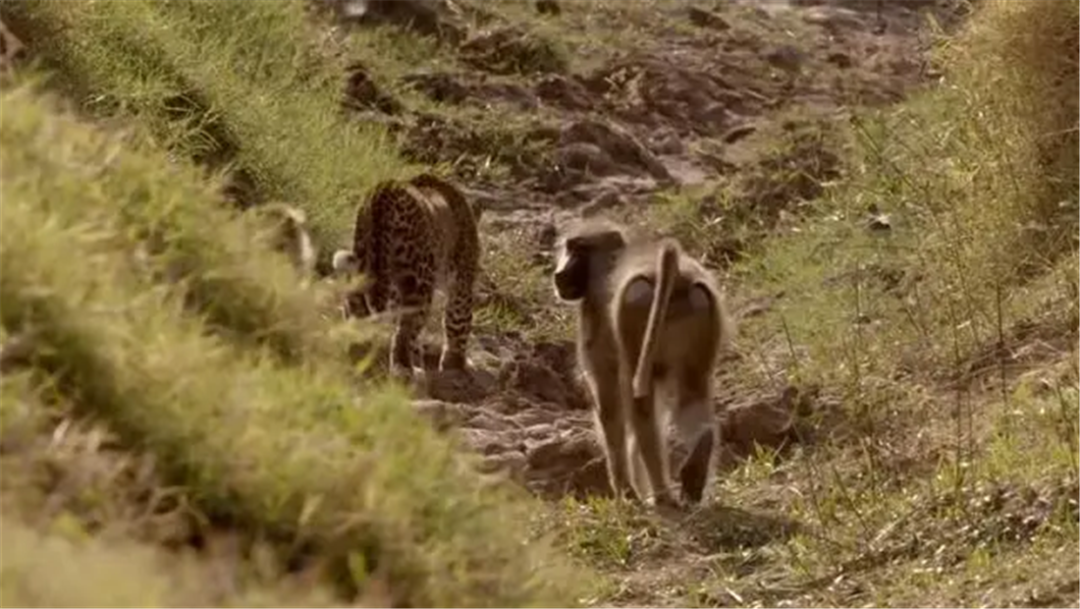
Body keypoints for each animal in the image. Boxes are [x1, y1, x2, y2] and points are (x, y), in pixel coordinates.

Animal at [330, 171, 479, 377]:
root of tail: (383, 191)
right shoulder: (462, 279)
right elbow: (458, 320)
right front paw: (455, 364)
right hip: (420, 279)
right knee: (405, 330)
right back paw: (404, 369)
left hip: (364, 259)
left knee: (357, 308)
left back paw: (358, 355)